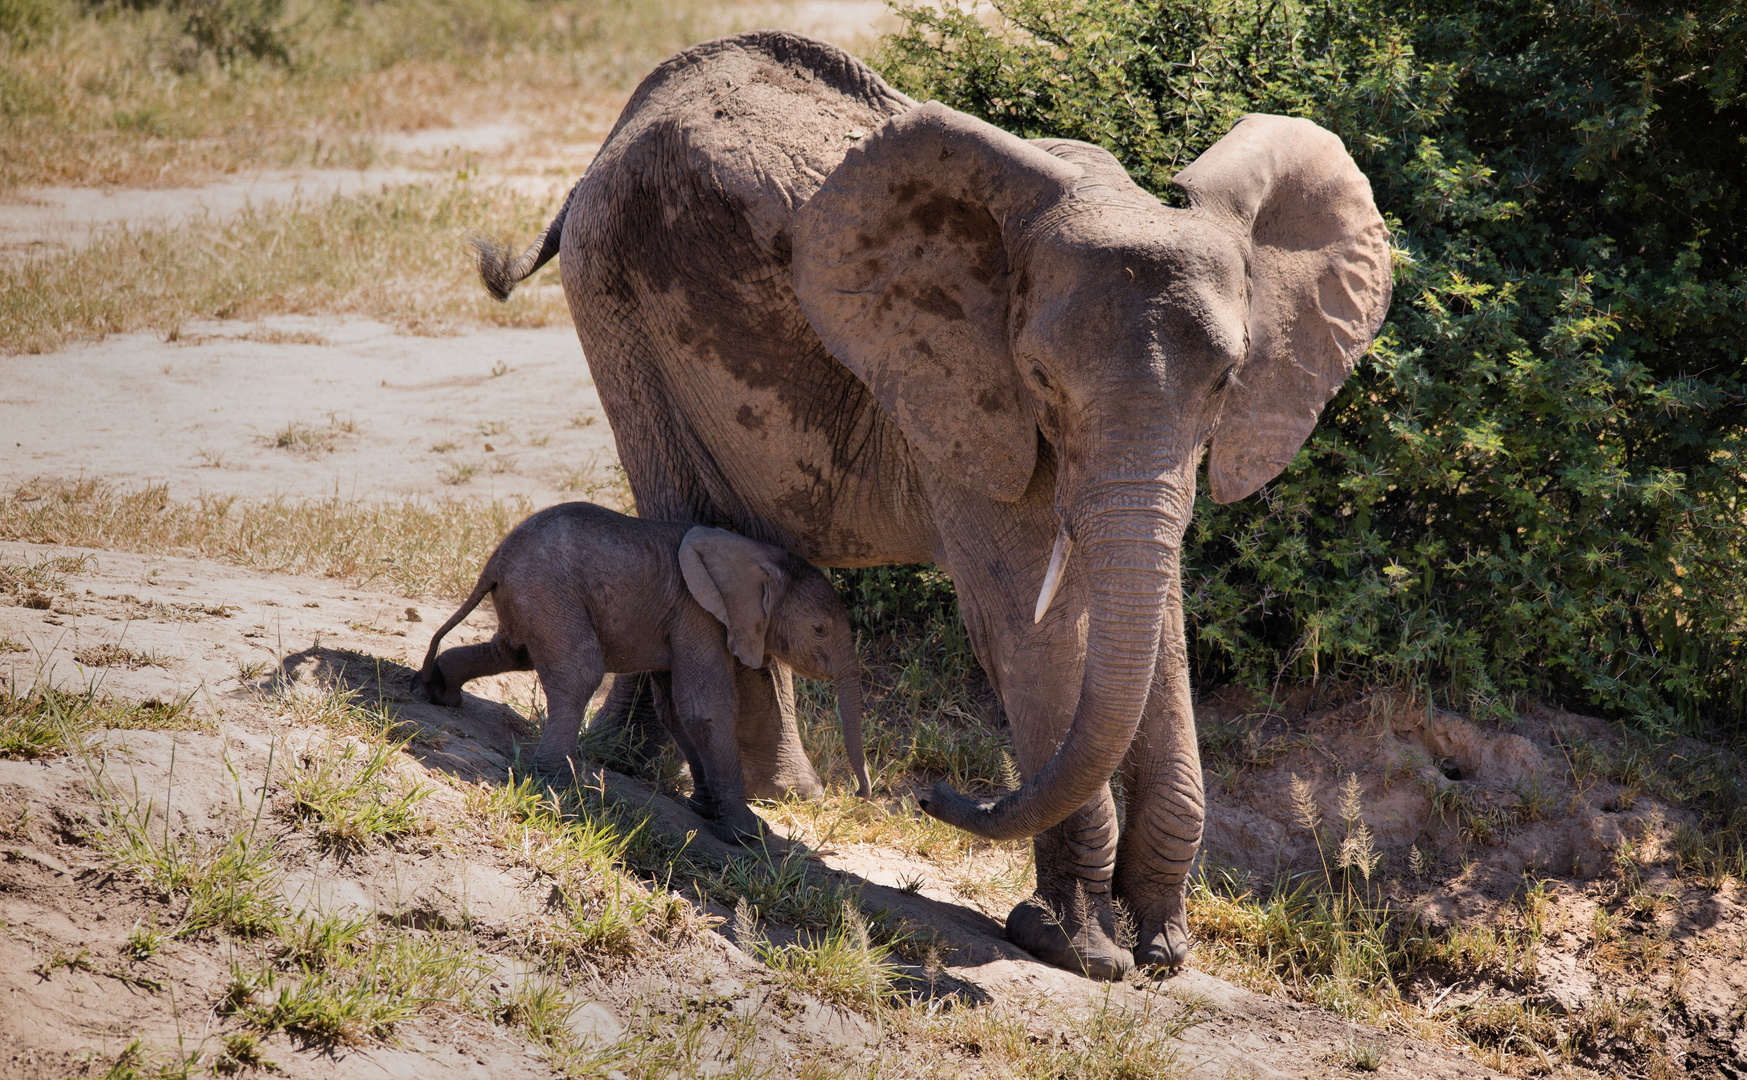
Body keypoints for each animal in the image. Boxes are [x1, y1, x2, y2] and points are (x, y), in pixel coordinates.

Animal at [417, 499, 880, 835]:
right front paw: (748, 832)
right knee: (579, 673)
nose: (860, 795)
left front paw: (705, 808)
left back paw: (441, 692)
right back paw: (557, 783)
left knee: (509, 652)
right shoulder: (696, 612)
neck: (758, 557)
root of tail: (494, 561)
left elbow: (675, 710)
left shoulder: (676, 618)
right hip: (549, 593)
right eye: (819, 630)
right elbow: (705, 708)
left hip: (531, 598)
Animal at [478, 31, 1390, 978]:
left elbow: (1154, 626)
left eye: (1226, 380)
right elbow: (1027, 627)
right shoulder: (965, 402)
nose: (928, 792)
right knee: (674, 504)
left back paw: (736, 788)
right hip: (614, 297)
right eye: (1038, 377)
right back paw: (660, 778)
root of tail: (616, 132)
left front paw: (1163, 950)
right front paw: (1075, 949)